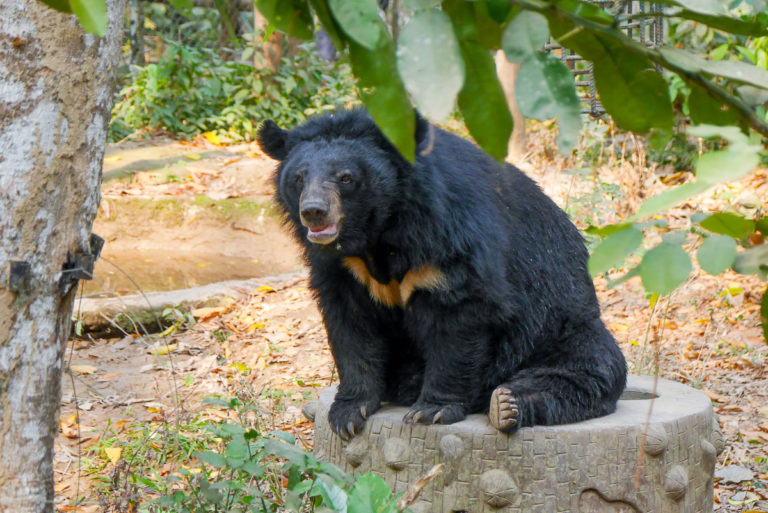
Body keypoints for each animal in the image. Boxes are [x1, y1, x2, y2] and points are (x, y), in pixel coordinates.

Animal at [258, 110, 624, 438]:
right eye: (299, 178)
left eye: (346, 178)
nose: (314, 212)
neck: (376, 235)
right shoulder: (343, 269)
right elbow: (351, 326)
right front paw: (348, 412)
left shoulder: (449, 237)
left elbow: (459, 317)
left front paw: (431, 410)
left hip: (559, 327)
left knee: (589, 370)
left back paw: (506, 405)